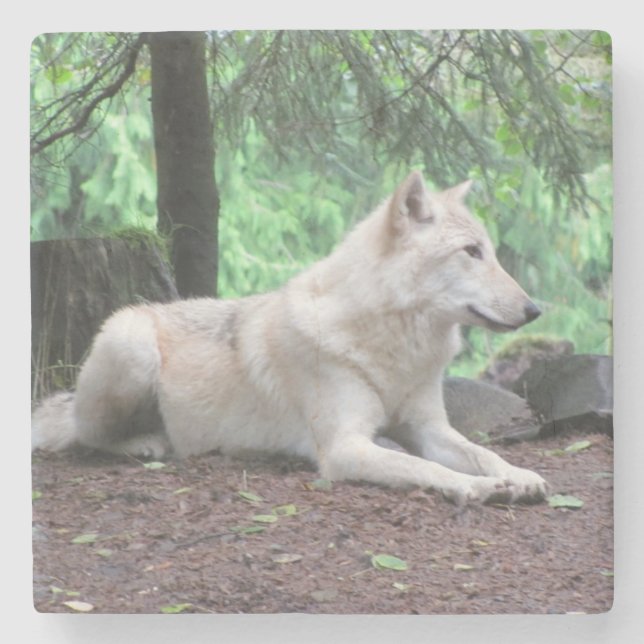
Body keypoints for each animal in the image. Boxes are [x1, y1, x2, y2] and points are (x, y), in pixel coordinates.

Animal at [32, 171, 547, 504]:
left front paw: (519, 476)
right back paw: (145, 443)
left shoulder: (429, 429)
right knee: (86, 436)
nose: (535, 310)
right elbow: (427, 468)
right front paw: (481, 489)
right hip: (130, 344)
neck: (391, 345)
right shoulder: (344, 449)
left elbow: (481, 451)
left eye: (490, 251)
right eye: (472, 252)